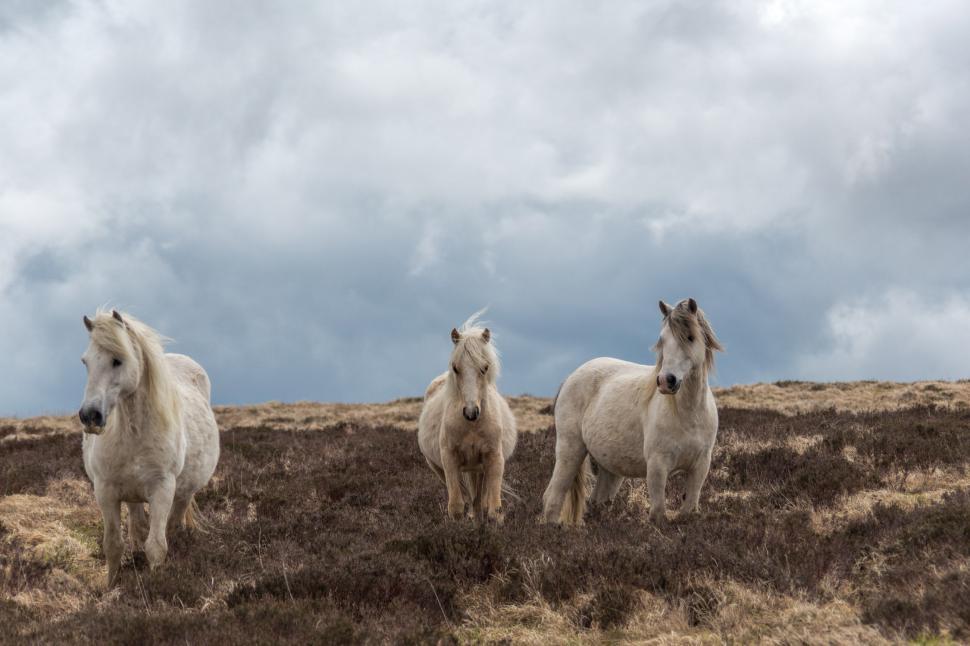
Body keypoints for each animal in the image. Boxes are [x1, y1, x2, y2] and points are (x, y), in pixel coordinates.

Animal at [78, 310, 220, 587]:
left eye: (117, 361)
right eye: (85, 362)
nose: (90, 416)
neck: (133, 433)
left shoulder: (162, 488)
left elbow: (156, 546)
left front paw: (155, 584)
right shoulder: (106, 491)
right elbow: (113, 545)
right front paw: (110, 587)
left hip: (182, 493)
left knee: (172, 526)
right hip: (131, 492)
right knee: (137, 523)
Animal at [417, 312, 517, 522]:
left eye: (485, 367)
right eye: (455, 368)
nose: (471, 412)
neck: (472, 427)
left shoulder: (494, 460)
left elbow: (494, 510)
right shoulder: (449, 461)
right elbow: (456, 508)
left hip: (480, 470)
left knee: (480, 503)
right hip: (442, 469)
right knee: (470, 501)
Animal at [541, 298, 723, 525]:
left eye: (690, 337)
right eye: (662, 339)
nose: (666, 381)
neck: (689, 415)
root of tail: (571, 377)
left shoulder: (700, 467)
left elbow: (688, 509)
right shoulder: (657, 465)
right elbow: (658, 513)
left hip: (609, 469)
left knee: (596, 500)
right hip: (570, 451)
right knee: (554, 496)